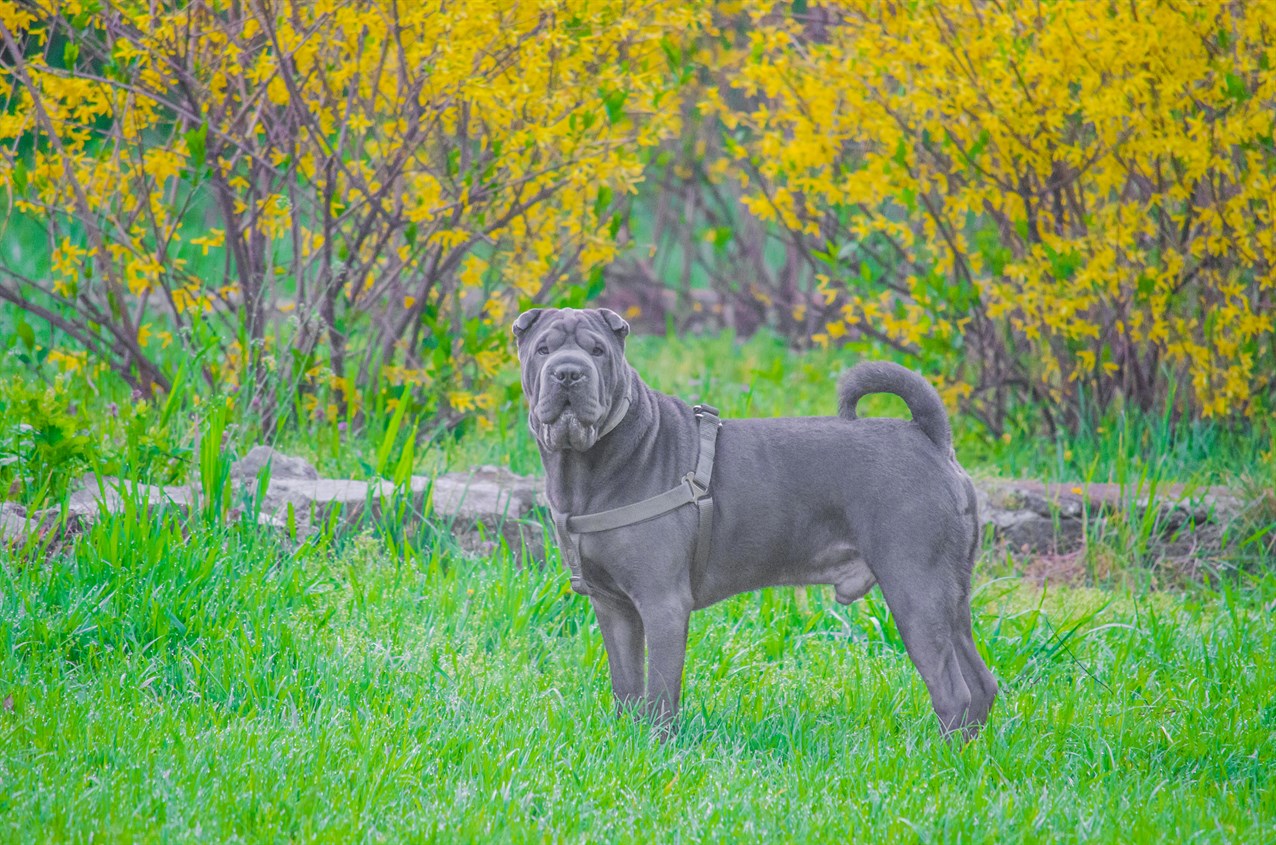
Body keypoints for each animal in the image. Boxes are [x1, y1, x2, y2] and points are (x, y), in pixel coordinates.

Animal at [512, 307, 990, 740]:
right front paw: (626, 741)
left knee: (953, 692)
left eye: (597, 350)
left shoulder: (662, 603)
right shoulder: (613, 606)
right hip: (950, 596)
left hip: (915, 588)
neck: (590, 465)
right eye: (542, 350)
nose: (569, 373)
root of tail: (929, 436)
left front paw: (656, 747)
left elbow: (661, 691)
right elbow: (626, 686)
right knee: (981, 683)